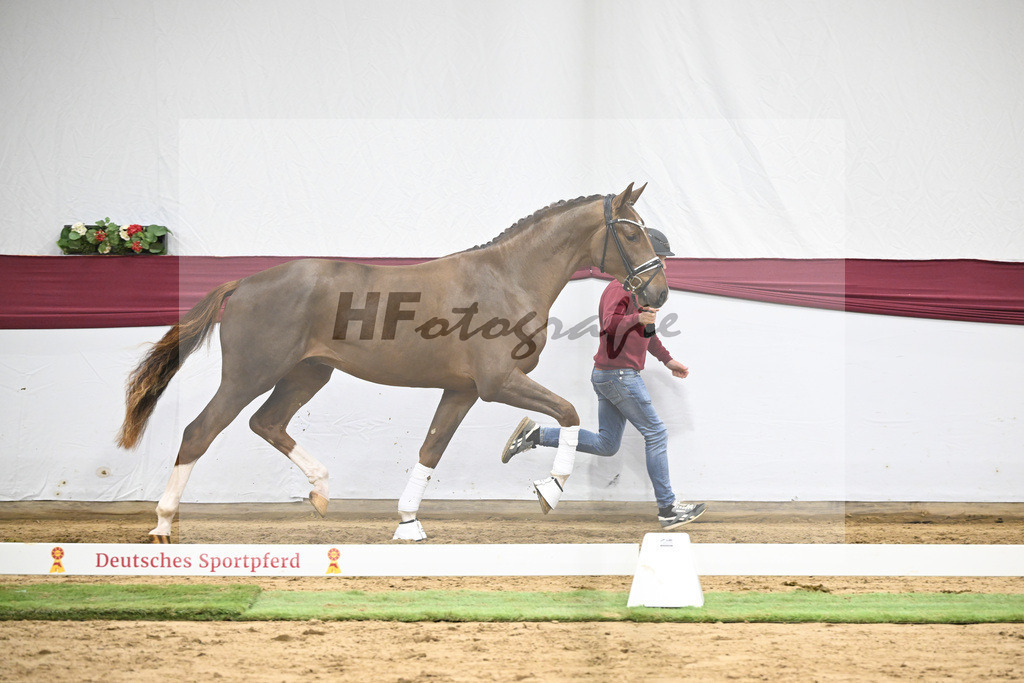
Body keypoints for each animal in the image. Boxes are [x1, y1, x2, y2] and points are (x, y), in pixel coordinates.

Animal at [117, 183, 669, 542]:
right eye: (632, 233)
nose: (658, 292)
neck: (507, 277)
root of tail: (244, 283)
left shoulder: (464, 390)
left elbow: (431, 449)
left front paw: (408, 522)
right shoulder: (497, 383)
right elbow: (569, 412)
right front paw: (549, 491)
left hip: (307, 373)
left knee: (267, 422)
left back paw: (321, 491)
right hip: (250, 375)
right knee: (200, 432)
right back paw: (163, 523)